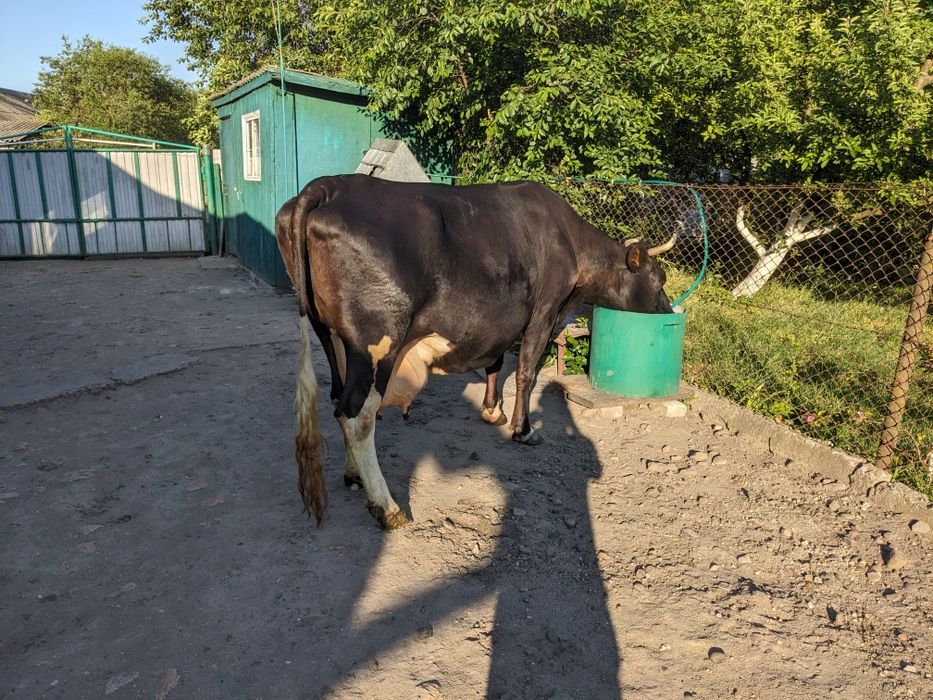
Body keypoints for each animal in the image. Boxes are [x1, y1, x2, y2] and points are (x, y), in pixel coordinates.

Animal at [275, 174, 675, 529]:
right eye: (658, 280)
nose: (670, 313)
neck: (569, 242)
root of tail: (327, 186)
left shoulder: (498, 320)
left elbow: (496, 361)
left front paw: (492, 410)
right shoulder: (543, 313)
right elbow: (526, 371)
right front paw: (523, 429)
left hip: (331, 336)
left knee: (337, 398)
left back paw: (354, 476)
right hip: (376, 340)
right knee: (358, 416)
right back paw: (387, 507)